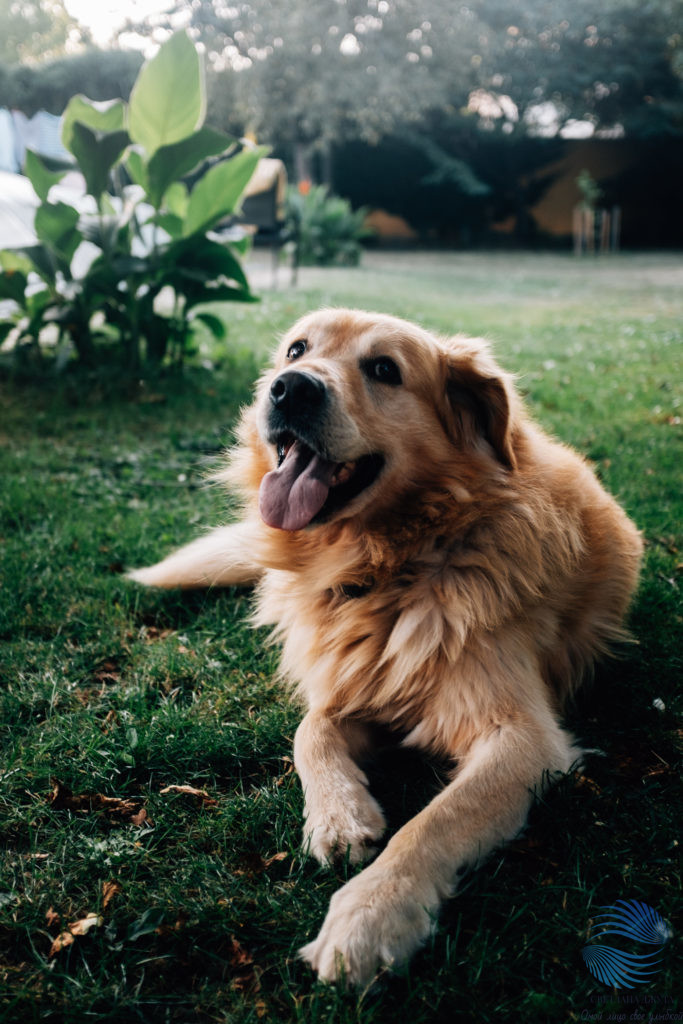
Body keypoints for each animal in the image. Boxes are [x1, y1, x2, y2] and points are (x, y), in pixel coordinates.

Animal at [126, 305, 643, 983]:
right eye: (296, 349)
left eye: (384, 370)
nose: (290, 389)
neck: (393, 566)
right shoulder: (354, 684)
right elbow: (309, 732)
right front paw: (340, 816)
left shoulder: (525, 738)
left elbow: (436, 822)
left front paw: (369, 915)